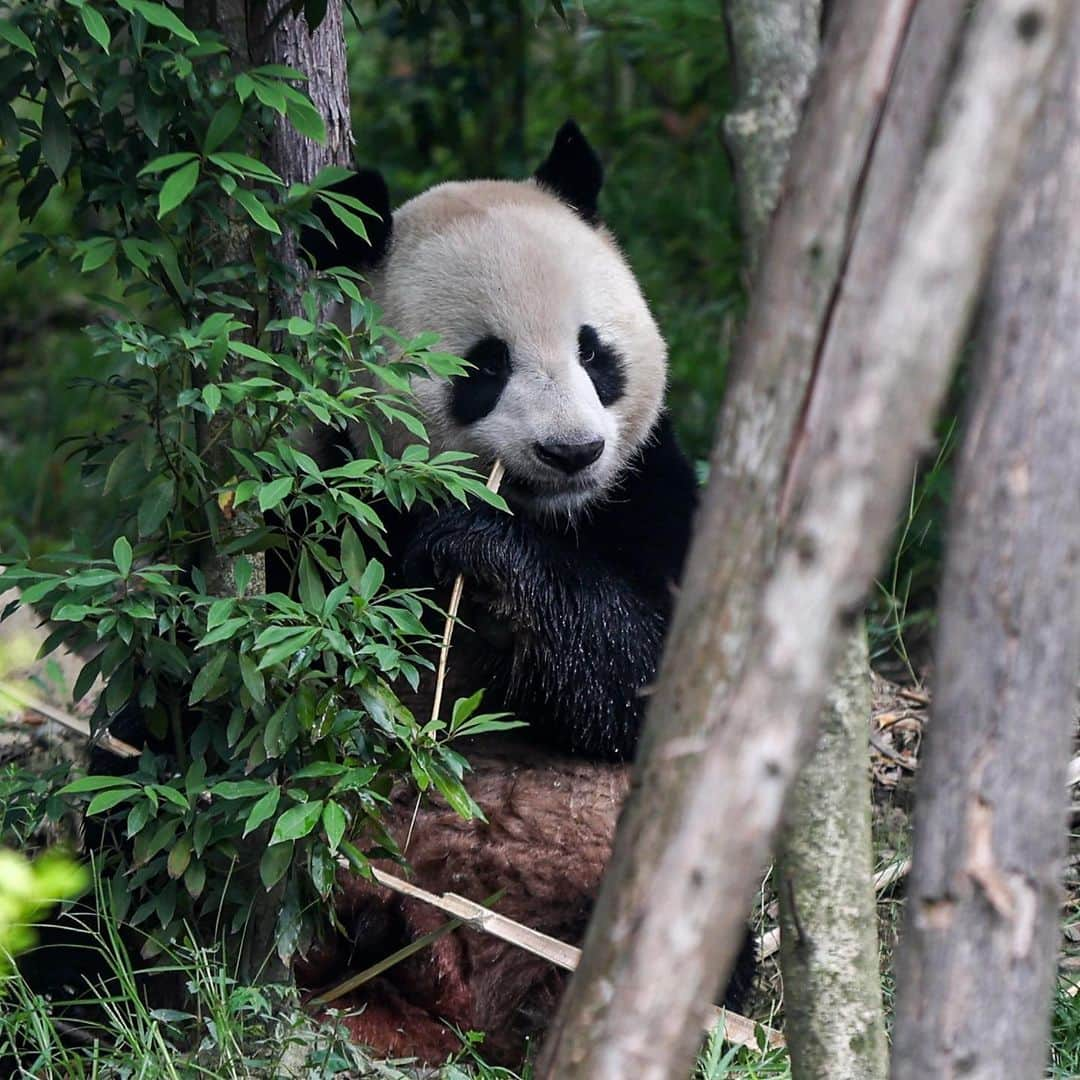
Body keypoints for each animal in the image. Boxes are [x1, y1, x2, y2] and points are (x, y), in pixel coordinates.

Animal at [291, 122, 756, 1058]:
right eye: (485, 366)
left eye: (593, 351)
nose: (572, 451)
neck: (551, 515)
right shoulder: (320, 494)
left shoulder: (651, 490)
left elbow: (662, 676)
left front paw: (484, 554)